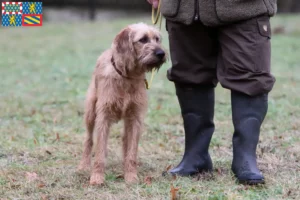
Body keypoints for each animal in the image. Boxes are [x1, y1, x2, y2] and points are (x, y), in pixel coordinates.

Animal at [77, 22, 166, 185]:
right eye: (143, 39)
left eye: (157, 39)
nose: (161, 53)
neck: (128, 77)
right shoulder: (103, 117)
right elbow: (99, 152)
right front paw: (97, 177)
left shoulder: (135, 118)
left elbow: (131, 151)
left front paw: (131, 176)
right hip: (91, 113)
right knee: (88, 140)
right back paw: (83, 166)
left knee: (125, 141)